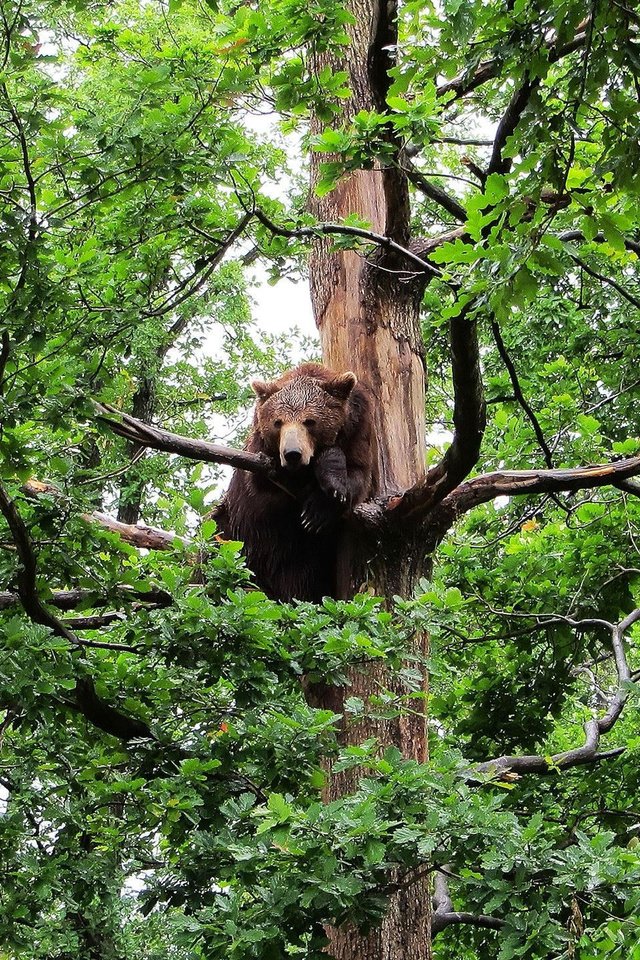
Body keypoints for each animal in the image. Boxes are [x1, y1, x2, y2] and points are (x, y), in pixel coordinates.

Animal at [212, 366, 378, 600]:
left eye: (310, 421)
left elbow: (357, 477)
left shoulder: (358, 431)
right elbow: (264, 484)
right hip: (237, 531)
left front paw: (319, 507)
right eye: (277, 422)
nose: (292, 454)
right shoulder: (260, 459)